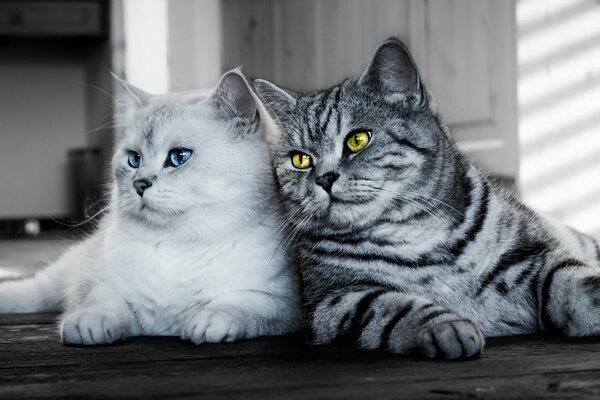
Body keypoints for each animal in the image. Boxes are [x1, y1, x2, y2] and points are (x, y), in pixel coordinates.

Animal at [0, 70, 302, 346]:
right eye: (134, 159)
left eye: (179, 157)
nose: (139, 184)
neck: (178, 246)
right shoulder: (97, 282)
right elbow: (98, 300)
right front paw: (91, 325)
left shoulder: (287, 305)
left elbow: (241, 303)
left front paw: (208, 323)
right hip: (68, 268)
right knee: (33, 290)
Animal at [252, 39, 600, 360]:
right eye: (300, 160)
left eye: (357, 140)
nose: (324, 178)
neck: (412, 234)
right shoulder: (334, 300)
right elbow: (394, 306)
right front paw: (446, 327)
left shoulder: (532, 254)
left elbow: (575, 281)